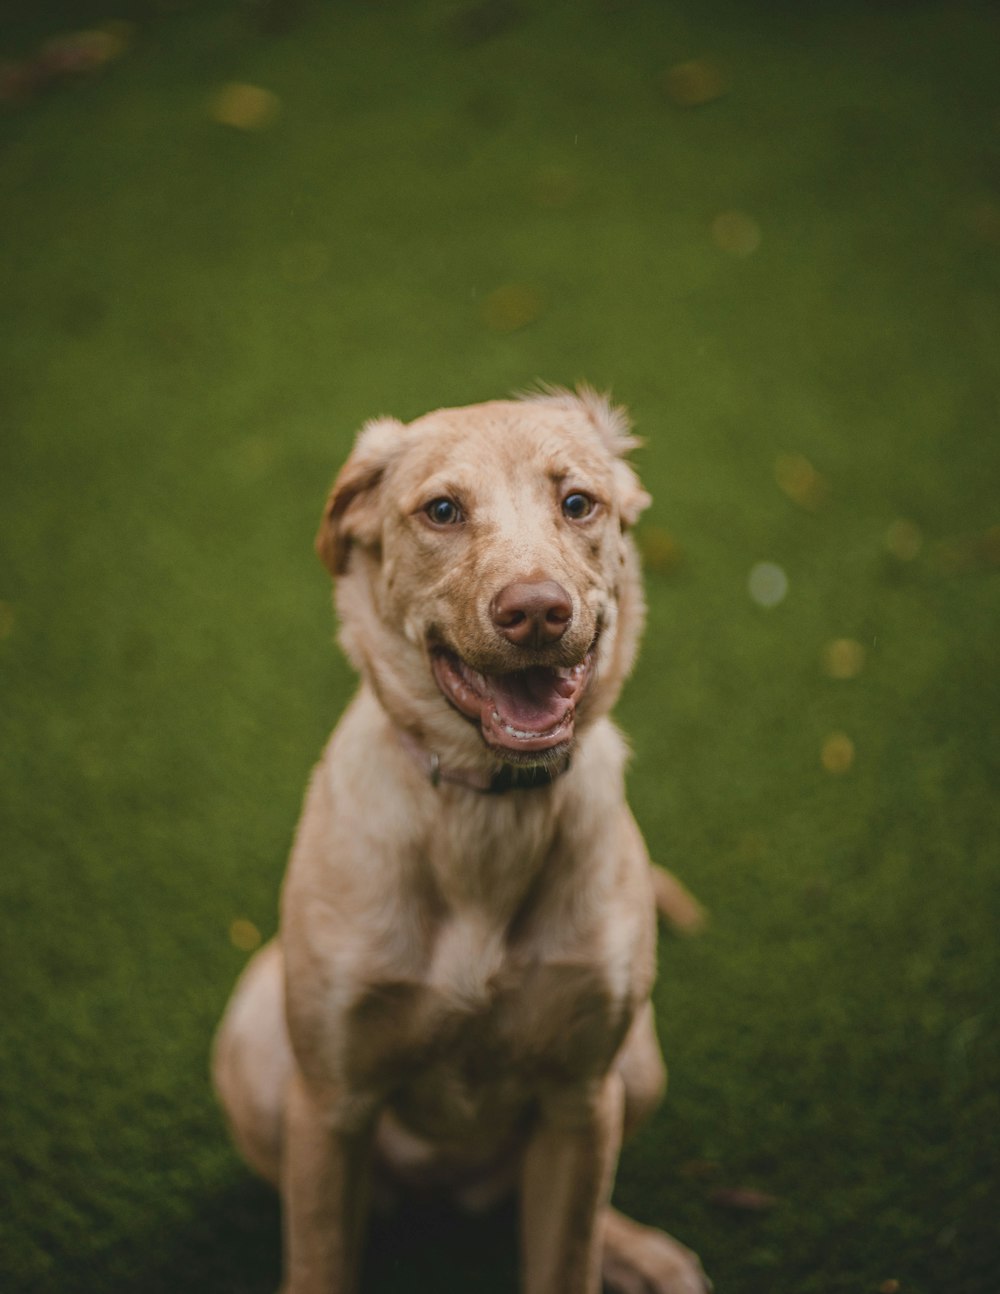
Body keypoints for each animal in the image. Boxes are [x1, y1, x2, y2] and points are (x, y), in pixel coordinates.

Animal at [213, 388, 703, 1288]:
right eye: (442, 510)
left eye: (578, 502)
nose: (537, 611)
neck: (487, 821)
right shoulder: (331, 1103)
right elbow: (321, 1255)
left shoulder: (580, 1098)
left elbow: (564, 1257)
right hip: (257, 1049)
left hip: (635, 1065)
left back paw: (634, 1250)